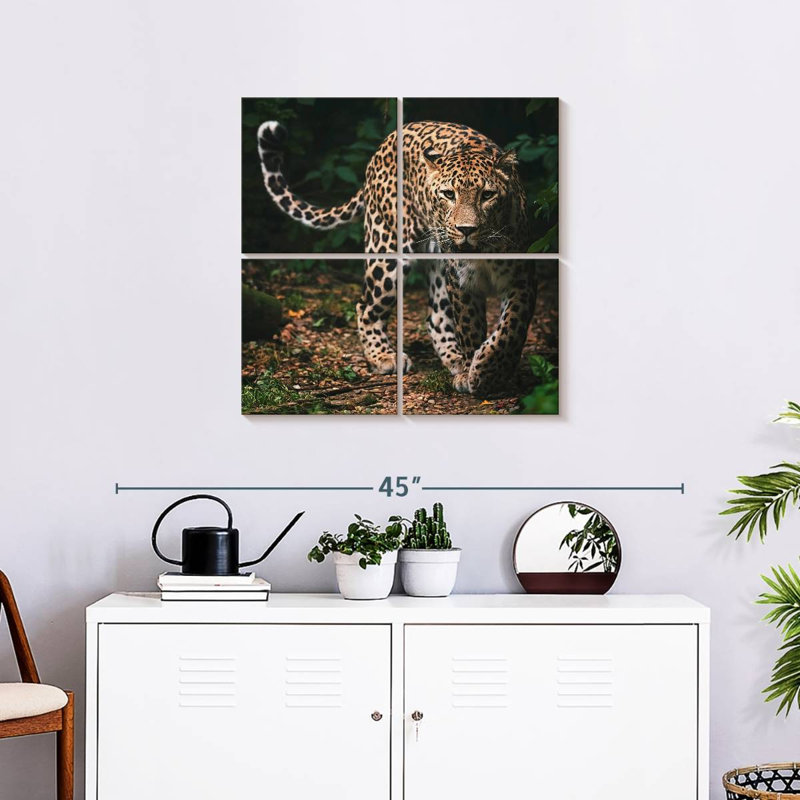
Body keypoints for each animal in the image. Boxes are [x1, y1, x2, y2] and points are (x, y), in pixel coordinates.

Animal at [257, 119, 537, 396]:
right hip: (387, 251)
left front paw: (489, 371)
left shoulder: (521, 278)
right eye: (449, 194)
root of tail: (387, 140)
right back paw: (385, 357)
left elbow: (511, 329)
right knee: (365, 306)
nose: (466, 229)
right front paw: (476, 373)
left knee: (435, 316)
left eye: (487, 195)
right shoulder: (461, 282)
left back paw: (455, 360)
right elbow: (470, 328)